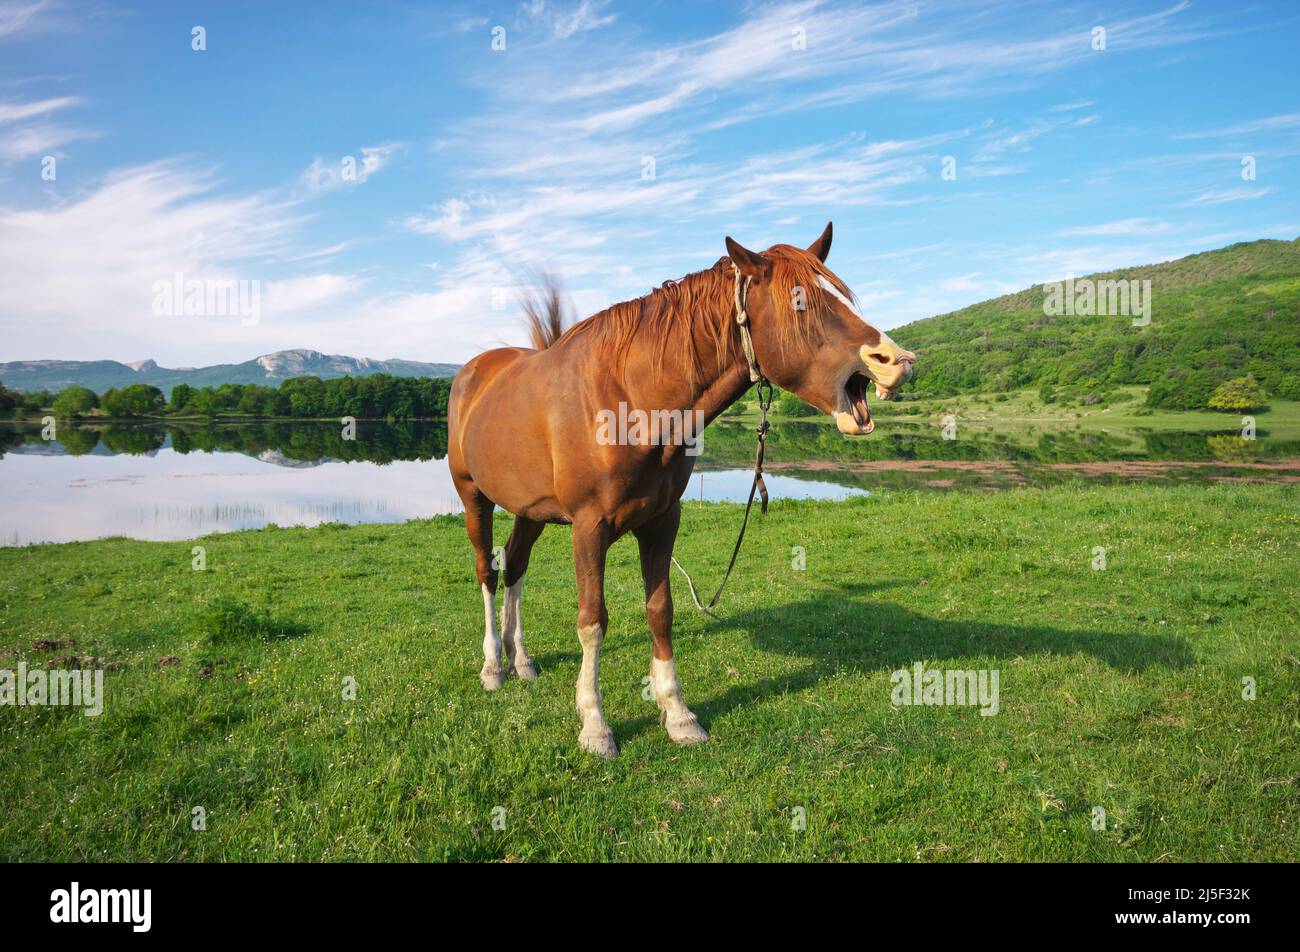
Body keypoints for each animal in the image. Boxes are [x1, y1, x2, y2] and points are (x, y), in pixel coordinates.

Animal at [447, 223, 916, 757]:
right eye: (801, 302)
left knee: (515, 565)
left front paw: (677, 713)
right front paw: (595, 724)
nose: (896, 361)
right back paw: (493, 666)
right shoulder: (588, 528)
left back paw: (520, 658)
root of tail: (473, 373)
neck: (629, 400)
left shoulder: (661, 522)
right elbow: (592, 621)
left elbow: (660, 612)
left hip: (532, 509)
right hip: (473, 498)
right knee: (487, 570)